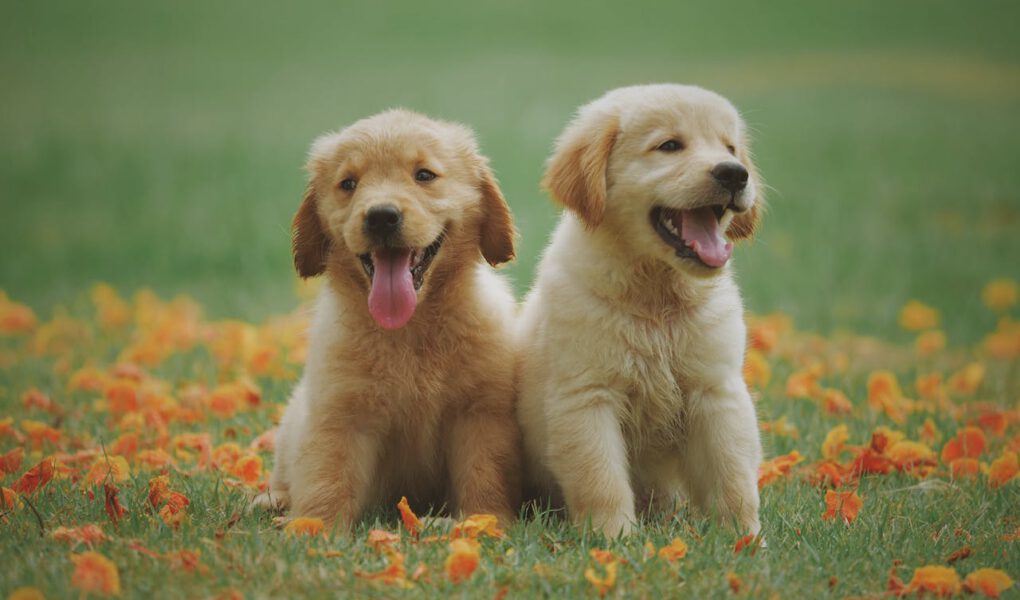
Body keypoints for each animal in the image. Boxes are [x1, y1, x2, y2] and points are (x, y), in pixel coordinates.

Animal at [253, 110, 522, 526]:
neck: (409, 329)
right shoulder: (339, 413)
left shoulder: (480, 413)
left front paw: (483, 521)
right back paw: (273, 500)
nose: (381, 217)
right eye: (348, 184)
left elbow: (484, 473)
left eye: (424, 175)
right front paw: (313, 526)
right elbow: (327, 475)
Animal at [518, 83, 767, 534]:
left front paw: (745, 538)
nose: (735, 173)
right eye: (669, 146)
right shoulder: (588, 397)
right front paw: (612, 537)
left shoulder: (716, 392)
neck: (656, 298)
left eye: (730, 148)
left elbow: (733, 475)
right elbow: (600, 478)